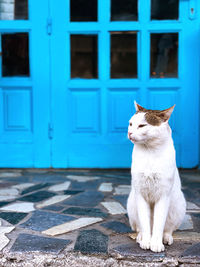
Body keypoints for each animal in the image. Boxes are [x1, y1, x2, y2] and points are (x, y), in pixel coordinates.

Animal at [126, 101, 186, 253]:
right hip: (132, 203)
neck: (149, 152)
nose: (129, 132)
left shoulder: (163, 195)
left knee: (168, 228)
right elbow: (145, 223)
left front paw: (156, 244)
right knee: (139, 227)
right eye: (130, 124)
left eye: (142, 126)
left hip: (178, 205)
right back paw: (141, 237)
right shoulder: (140, 193)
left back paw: (166, 238)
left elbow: (159, 224)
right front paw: (147, 241)